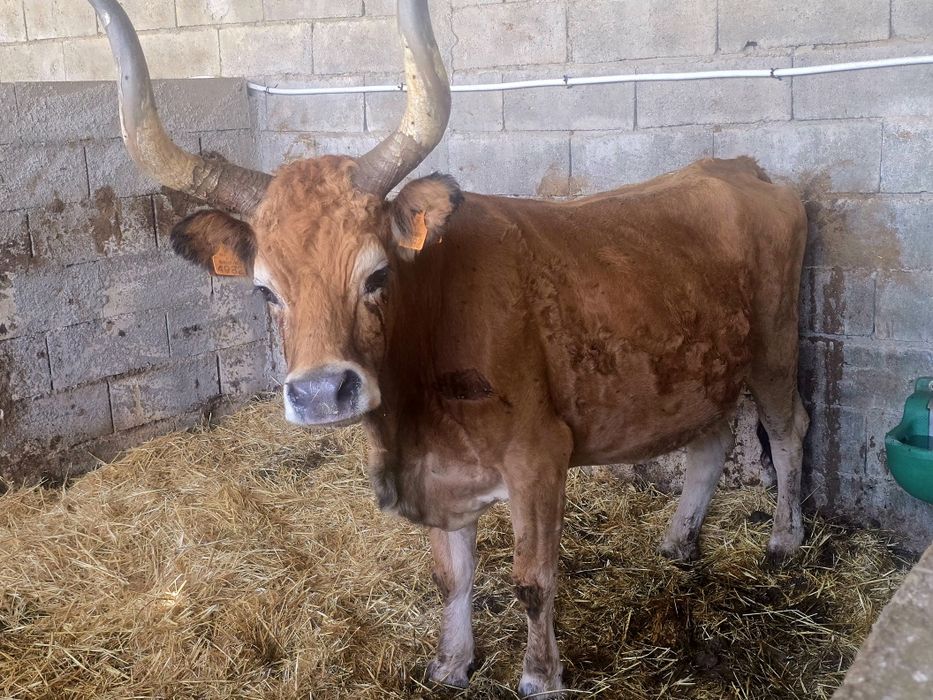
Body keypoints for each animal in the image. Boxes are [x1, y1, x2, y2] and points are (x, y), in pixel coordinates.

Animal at [90, 0, 810, 695]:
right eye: (266, 290)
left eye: (377, 274)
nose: (321, 392)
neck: (413, 416)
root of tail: (737, 168)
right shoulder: (438, 476)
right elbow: (451, 577)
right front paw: (450, 663)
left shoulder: (539, 457)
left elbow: (532, 581)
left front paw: (540, 677)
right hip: (704, 365)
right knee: (711, 437)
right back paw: (679, 540)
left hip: (776, 347)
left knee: (788, 428)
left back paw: (783, 540)